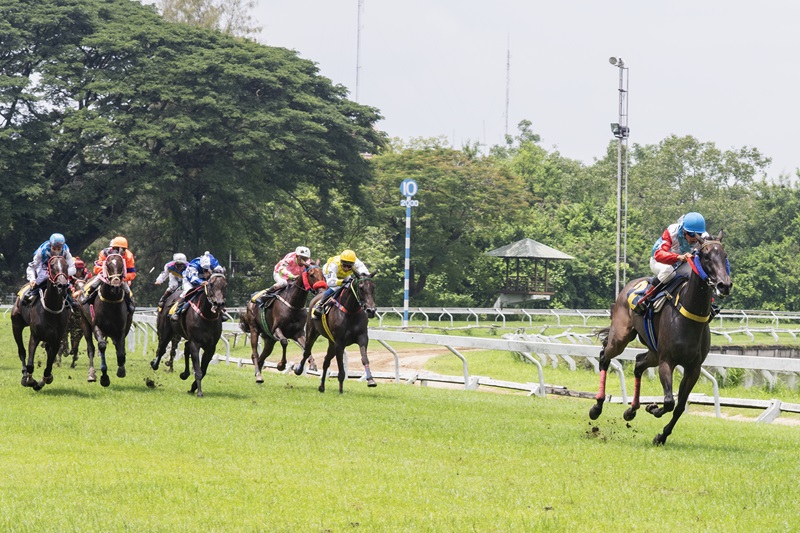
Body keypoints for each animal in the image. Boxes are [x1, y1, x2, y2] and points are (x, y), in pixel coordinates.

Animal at [10, 256, 73, 388]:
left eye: (66, 265)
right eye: (52, 266)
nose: (62, 285)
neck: (51, 309)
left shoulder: (56, 339)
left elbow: (49, 365)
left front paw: (43, 380)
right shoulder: (35, 336)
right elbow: (30, 364)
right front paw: (29, 380)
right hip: (16, 325)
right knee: (21, 351)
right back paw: (24, 374)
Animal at [78, 255, 133, 386]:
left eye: (121, 265)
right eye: (107, 265)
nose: (116, 285)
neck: (111, 303)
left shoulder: (121, 329)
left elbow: (121, 351)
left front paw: (121, 370)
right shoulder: (97, 326)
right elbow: (102, 345)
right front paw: (104, 378)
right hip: (84, 322)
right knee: (91, 348)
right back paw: (91, 374)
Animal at [588, 233, 732, 444]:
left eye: (724, 255)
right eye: (705, 256)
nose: (724, 284)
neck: (689, 315)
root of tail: (628, 286)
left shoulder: (693, 368)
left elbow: (679, 407)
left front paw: (661, 435)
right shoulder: (667, 361)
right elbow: (669, 401)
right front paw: (653, 408)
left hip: (654, 353)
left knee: (639, 363)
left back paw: (631, 410)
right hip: (621, 338)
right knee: (605, 357)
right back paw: (597, 407)